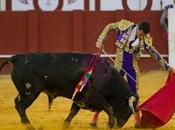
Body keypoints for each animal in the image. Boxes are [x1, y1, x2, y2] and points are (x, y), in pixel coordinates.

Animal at [0, 52, 139, 129]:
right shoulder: (94, 96)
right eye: (128, 110)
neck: (106, 76)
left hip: (25, 92)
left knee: (17, 103)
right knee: (20, 106)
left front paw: (64, 126)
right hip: (31, 92)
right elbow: (109, 108)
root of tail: (17, 58)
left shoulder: (80, 97)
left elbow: (72, 112)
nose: (120, 125)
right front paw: (110, 125)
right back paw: (29, 126)